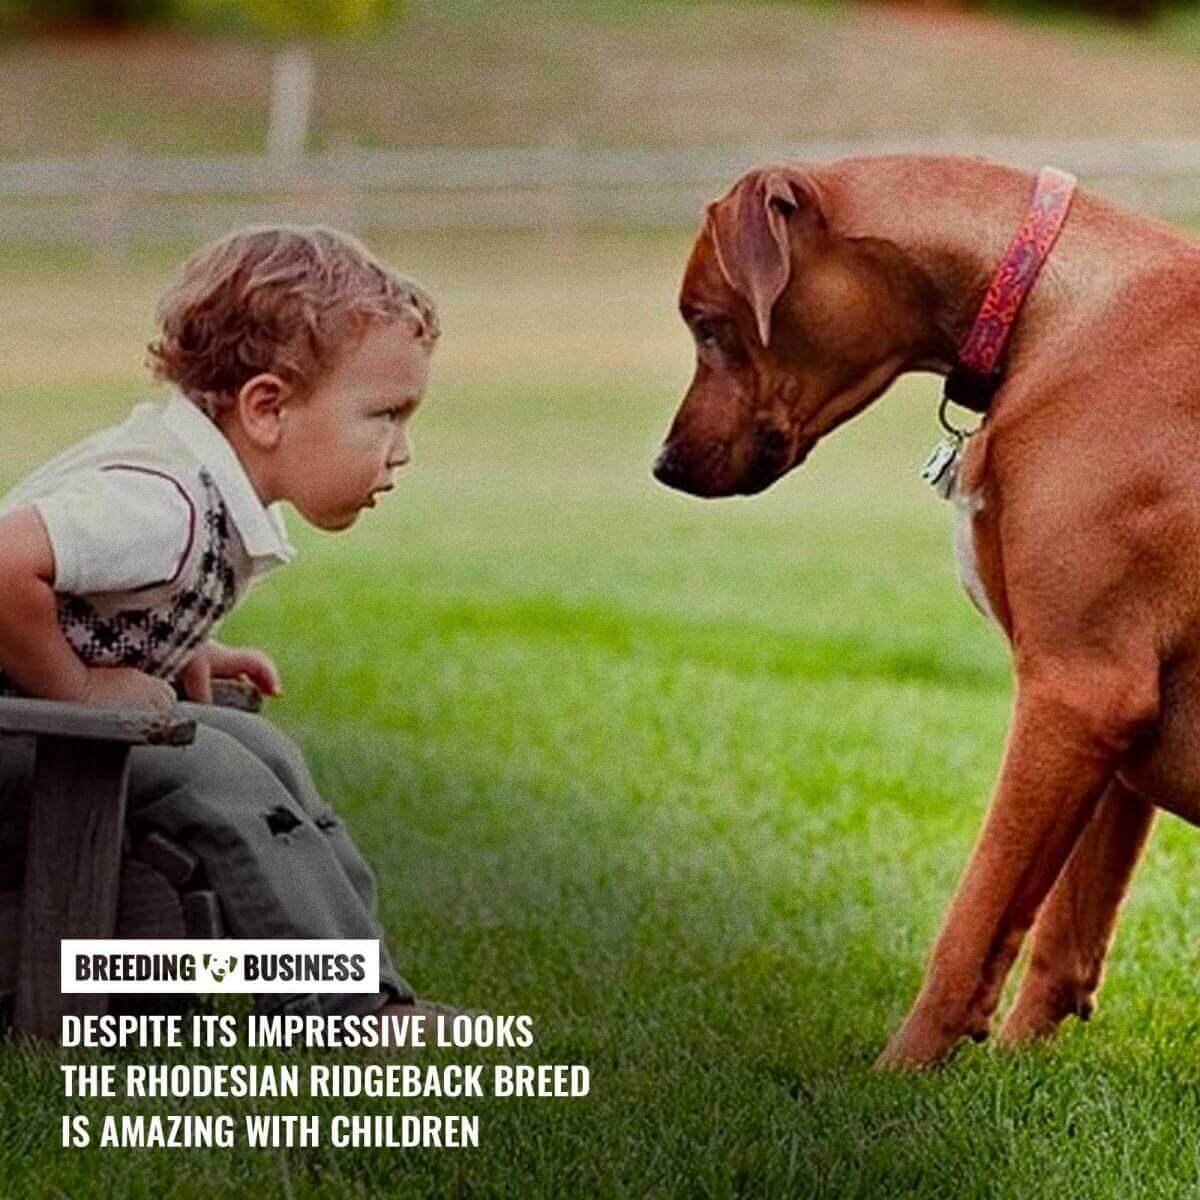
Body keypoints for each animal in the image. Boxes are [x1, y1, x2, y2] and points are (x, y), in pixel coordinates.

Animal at [657, 157, 1200, 1070]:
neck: (1044, 301)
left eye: (706, 323)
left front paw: (901, 1074)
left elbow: (972, 922)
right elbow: (1062, 941)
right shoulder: (1120, 729)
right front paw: (1015, 1067)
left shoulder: (1076, 693)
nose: (663, 466)